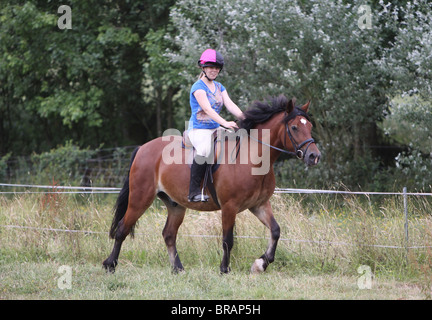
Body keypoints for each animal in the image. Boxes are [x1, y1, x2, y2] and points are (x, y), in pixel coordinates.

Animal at [103, 94, 320, 274]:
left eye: (309, 127)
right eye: (294, 127)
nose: (314, 156)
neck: (253, 159)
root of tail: (143, 148)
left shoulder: (259, 205)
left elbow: (275, 231)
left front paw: (261, 264)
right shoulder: (229, 207)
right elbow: (227, 240)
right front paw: (225, 269)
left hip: (176, 205)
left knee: (169, 234)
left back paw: (178, 269)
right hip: (140, 199)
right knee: (122, 229)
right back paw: (110, 265)